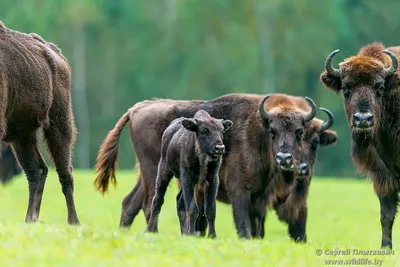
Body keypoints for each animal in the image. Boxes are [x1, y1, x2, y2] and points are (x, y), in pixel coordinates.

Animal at [0, 22, 80, 225]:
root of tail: (57, 54)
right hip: (22, 134)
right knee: (36, 170)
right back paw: (30, 219)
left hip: (59, 123)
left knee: (64, 172)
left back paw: (73, 222)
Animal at [145, 110, 233, 240]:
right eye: (203, 131)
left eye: (222, 131)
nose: (219, 148)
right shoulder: (188, 177)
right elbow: (192, 209)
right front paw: (191, 234)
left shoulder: (212, 179)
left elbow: (210, 209)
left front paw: (212, 236)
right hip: (164, 171)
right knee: (157, 200)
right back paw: (149, 231)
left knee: (179, 201)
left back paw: (183, 234)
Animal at [318, 42, 400, 249]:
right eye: (346, 88)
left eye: (379, 87)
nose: (363, 119)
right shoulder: (383, 176)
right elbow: (386, 215)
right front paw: (385, 247)